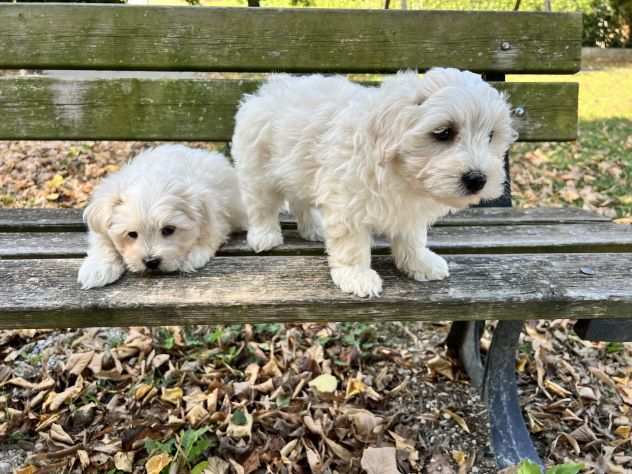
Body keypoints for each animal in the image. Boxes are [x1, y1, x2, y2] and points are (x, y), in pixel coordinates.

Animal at [76, 144, 247, 288]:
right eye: (132, 234)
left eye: (168, 230)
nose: (151, 261)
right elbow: (102, 240)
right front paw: (96, 269)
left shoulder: (214, 212)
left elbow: (211, 233)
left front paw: (194, 255)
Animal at [232, 67, 520, 296]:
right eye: (443, 132)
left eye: (491, 135)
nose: (478, 179)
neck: (399, 173)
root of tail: (269, 88)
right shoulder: (346, 203)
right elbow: (351, 245)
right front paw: (357, 276)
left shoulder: (408, 209)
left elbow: (412, 236)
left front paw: (419, 263)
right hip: (258, 167)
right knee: (261, 204)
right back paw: (265, 235)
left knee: (300, 199)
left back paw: (313, 227)